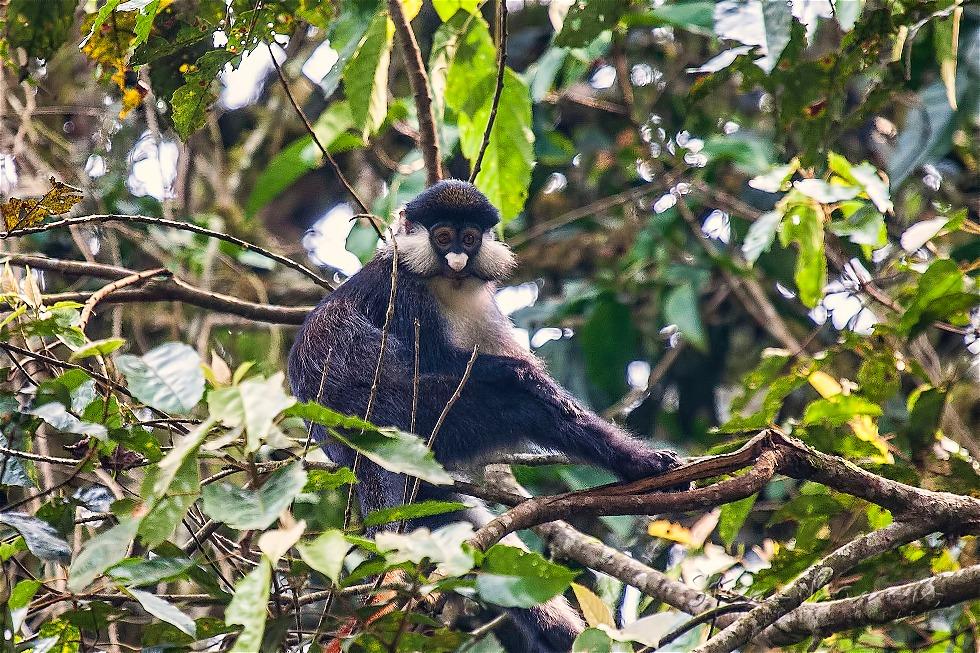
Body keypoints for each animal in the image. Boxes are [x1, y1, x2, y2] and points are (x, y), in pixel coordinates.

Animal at [288, 180, 682, 652]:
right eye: (442, 237)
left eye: (469, 237)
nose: (458, 259)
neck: (444, 283)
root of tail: (347, 444)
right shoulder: (403, 295)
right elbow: (440, 361)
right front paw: (526, 375)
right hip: (407, 414)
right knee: (515, 405)